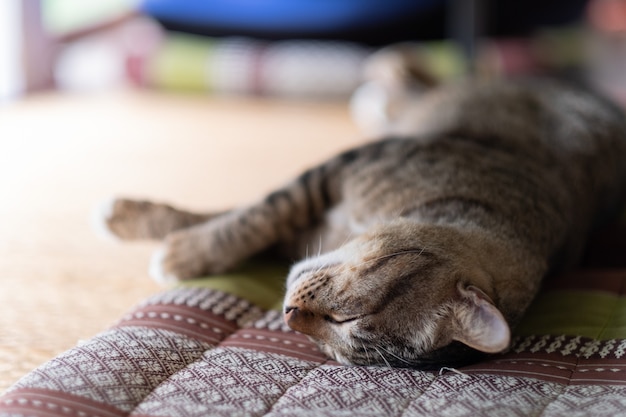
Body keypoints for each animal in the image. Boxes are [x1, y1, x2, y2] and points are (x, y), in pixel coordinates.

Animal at [95, 73, 624, 368]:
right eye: (348, 316)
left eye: (337, 340)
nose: (288, 315)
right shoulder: (337, 170)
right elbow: (249, 214)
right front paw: (146, 226)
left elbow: (243, 222)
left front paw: (177, 251)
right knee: (414, 82)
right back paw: (385, 77)